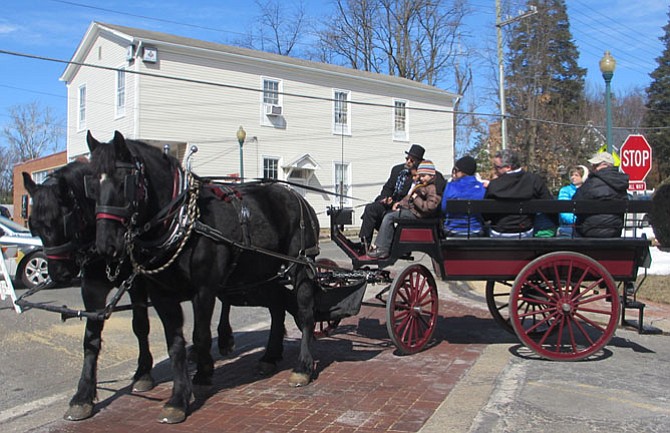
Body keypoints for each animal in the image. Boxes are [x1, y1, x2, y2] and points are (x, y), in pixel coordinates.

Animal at [23, 161, 156, 418]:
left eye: (63, 221)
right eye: (34, 227)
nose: (58, 274)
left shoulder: (137, 284)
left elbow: (140, 326)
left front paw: (144, 372)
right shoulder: (92, 289)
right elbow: (91, 338)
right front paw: (83, 394)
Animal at [86, 131, 322, 422]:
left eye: (124, 182)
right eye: (90, 185)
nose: (106, 245)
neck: (183, 223)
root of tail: (298, 197)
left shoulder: (205, 290)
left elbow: (200, 336)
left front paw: (202, 377)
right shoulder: (162, 296)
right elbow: (175, 345)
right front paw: (177, 399)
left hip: (300, 265)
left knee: (305, 310)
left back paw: (303, 366)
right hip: (261, 272)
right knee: (277, 306)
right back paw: (269, 356)